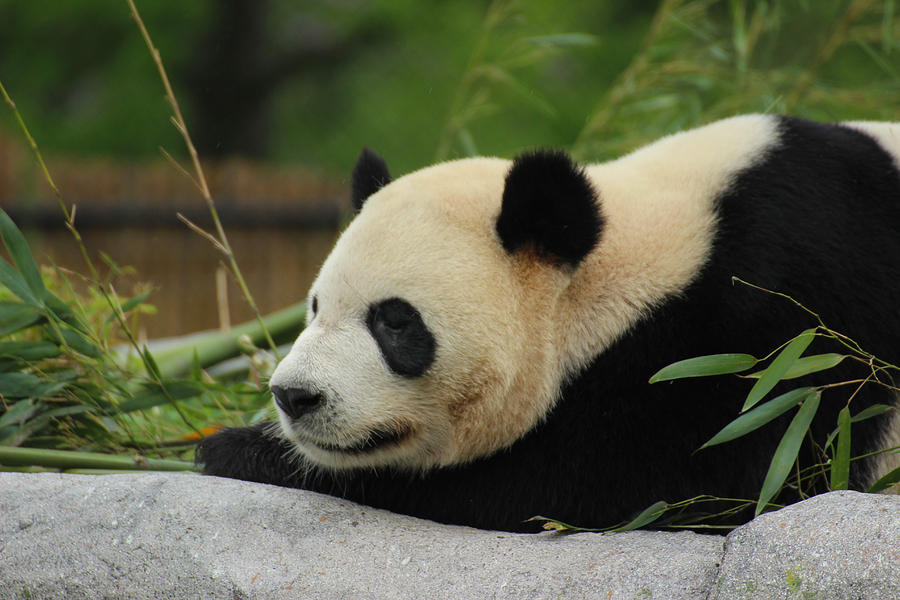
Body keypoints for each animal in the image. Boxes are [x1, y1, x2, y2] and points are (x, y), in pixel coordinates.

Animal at [199, 115, 900, 532]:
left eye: (395, 322)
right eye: (316, 307)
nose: (294, 396)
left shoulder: (775, 325)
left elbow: (659, 484)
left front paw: (238, 448)